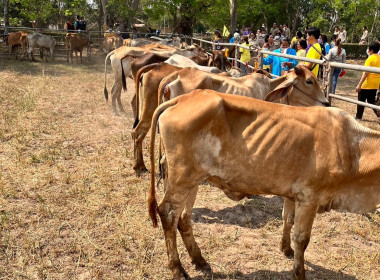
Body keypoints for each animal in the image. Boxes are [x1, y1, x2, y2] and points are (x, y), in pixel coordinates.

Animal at [148, 89, 380, 280]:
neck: (353, 148)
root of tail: (183, 98)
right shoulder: (310, 197)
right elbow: (302, 238)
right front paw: (299, 272)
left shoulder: (292, 195)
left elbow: (287, 220)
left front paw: (286, 249)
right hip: (182, 178)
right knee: (168, 214)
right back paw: (177, 269)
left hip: (192, 180)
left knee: (183, 219)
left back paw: (199, 260)